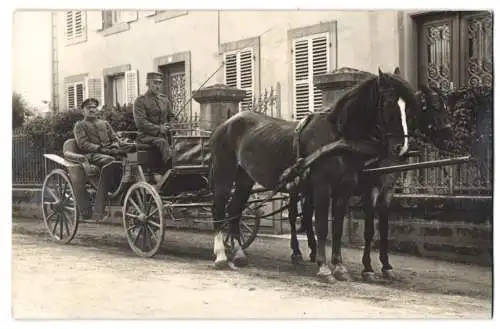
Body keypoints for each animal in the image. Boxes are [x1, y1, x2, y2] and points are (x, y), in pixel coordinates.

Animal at [209, 68, 420, 280]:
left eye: (410, 107)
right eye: (389, 103)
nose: (402, 148)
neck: (338, 137)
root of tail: (226, 123)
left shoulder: (346, 188)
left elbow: (338, 228)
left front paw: (340, 266)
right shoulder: (324, 186)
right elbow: (322, 226)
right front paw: (325, 267)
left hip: (245, 179)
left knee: (234, 211)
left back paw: (238, 253)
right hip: (224, 173)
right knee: (219, 209)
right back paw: (221, 255)